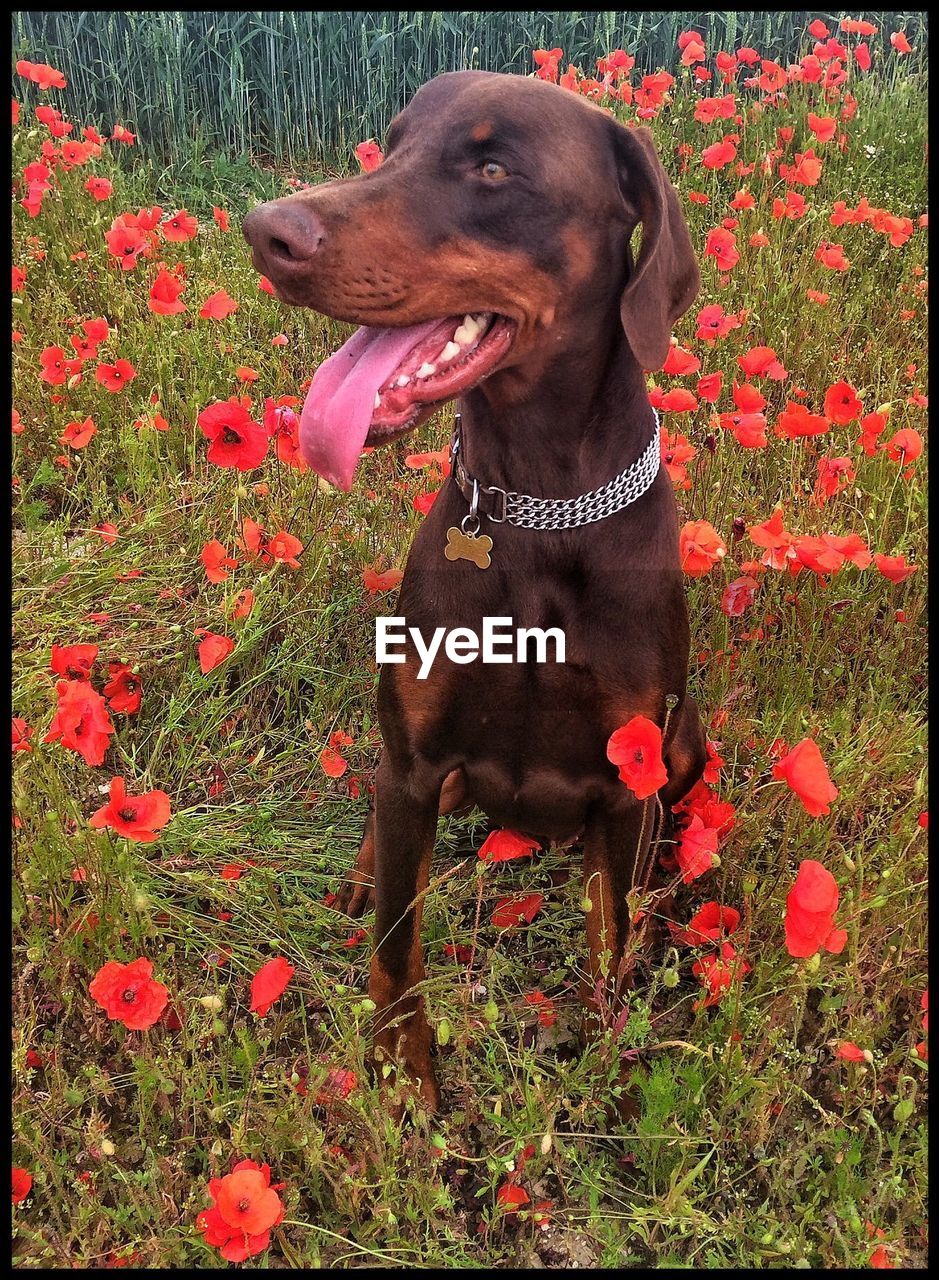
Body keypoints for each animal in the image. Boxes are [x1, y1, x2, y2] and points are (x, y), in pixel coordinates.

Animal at [246, 72, 711, 1111]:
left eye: (493, 169)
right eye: (390, 145)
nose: (266, 231)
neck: (540, 506)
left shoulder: (630, 776)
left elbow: (607, 944)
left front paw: (603, 1064)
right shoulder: (417, 762)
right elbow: (396, 943)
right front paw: (400, 1071)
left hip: (684, 745)